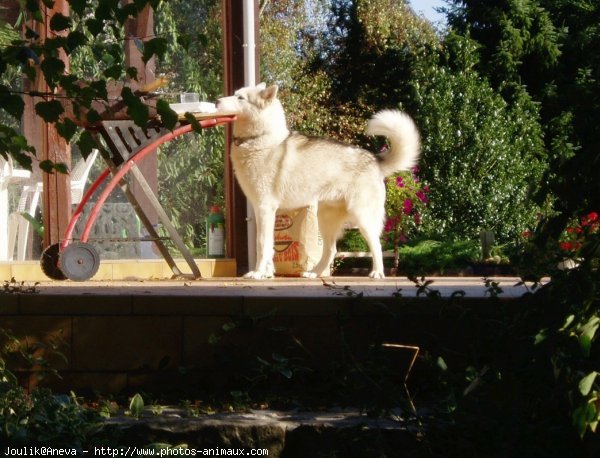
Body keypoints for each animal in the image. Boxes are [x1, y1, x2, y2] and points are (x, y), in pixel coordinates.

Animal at [217, 84, 422, 280]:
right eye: (235, 93)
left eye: (240, 97)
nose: (217, 101)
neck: (260, 139)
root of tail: (375, 160)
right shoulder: (265, 212)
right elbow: (269, 246)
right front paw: (267, 273)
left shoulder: (265, 208)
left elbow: (262, 245)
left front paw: (258, 273)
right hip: (324, 219)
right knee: (331, 250)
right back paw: (314, 273)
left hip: (362, 218)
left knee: (376, 246)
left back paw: (377, 273)